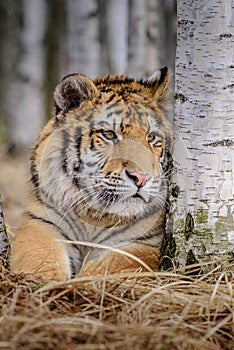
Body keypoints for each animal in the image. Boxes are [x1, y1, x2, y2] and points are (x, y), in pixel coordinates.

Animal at [10, 67, 173, 282]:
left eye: (151, 137)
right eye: (109, 134)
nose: (142, 178)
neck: (95, 217)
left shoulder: (145, 244)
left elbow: (112, 267)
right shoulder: (41, 223)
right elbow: (39, 257)